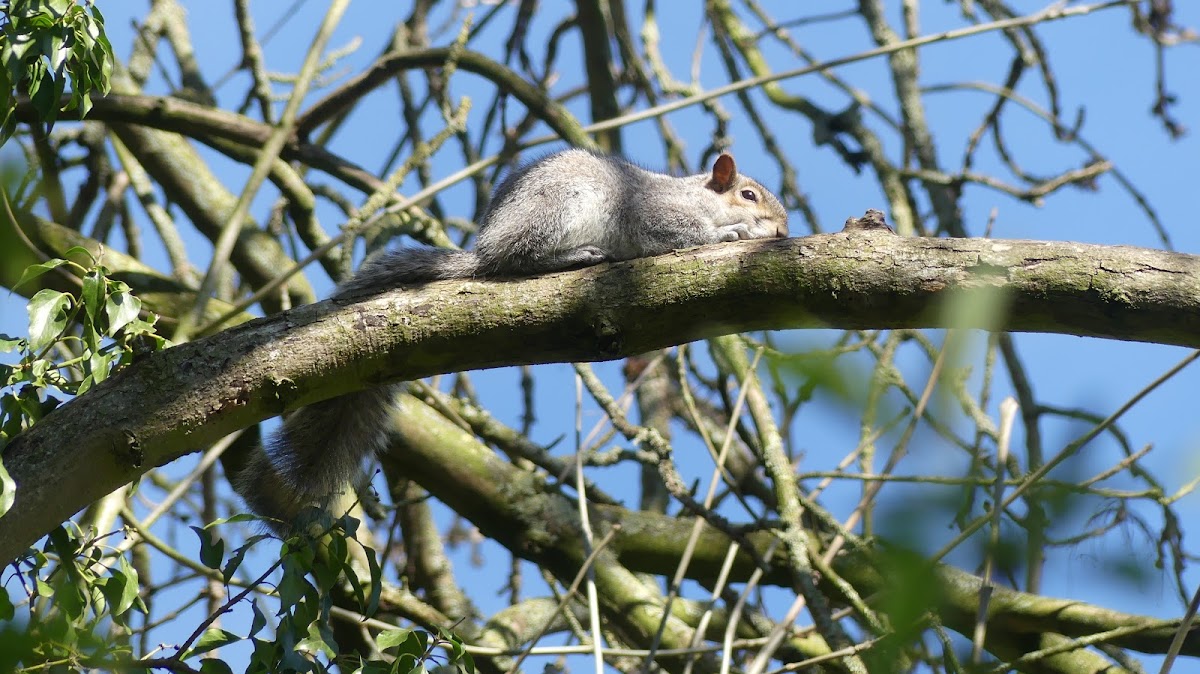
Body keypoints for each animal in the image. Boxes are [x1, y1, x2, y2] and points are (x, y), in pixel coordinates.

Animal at [236, 149, 787, 527]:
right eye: (749, 195)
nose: (783, 232)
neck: (695, 196)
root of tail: (485, 248)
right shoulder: (656, 215)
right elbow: (679, 235)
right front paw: (732, 235)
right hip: (558, 210)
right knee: (517, 261)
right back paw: (572, 256)